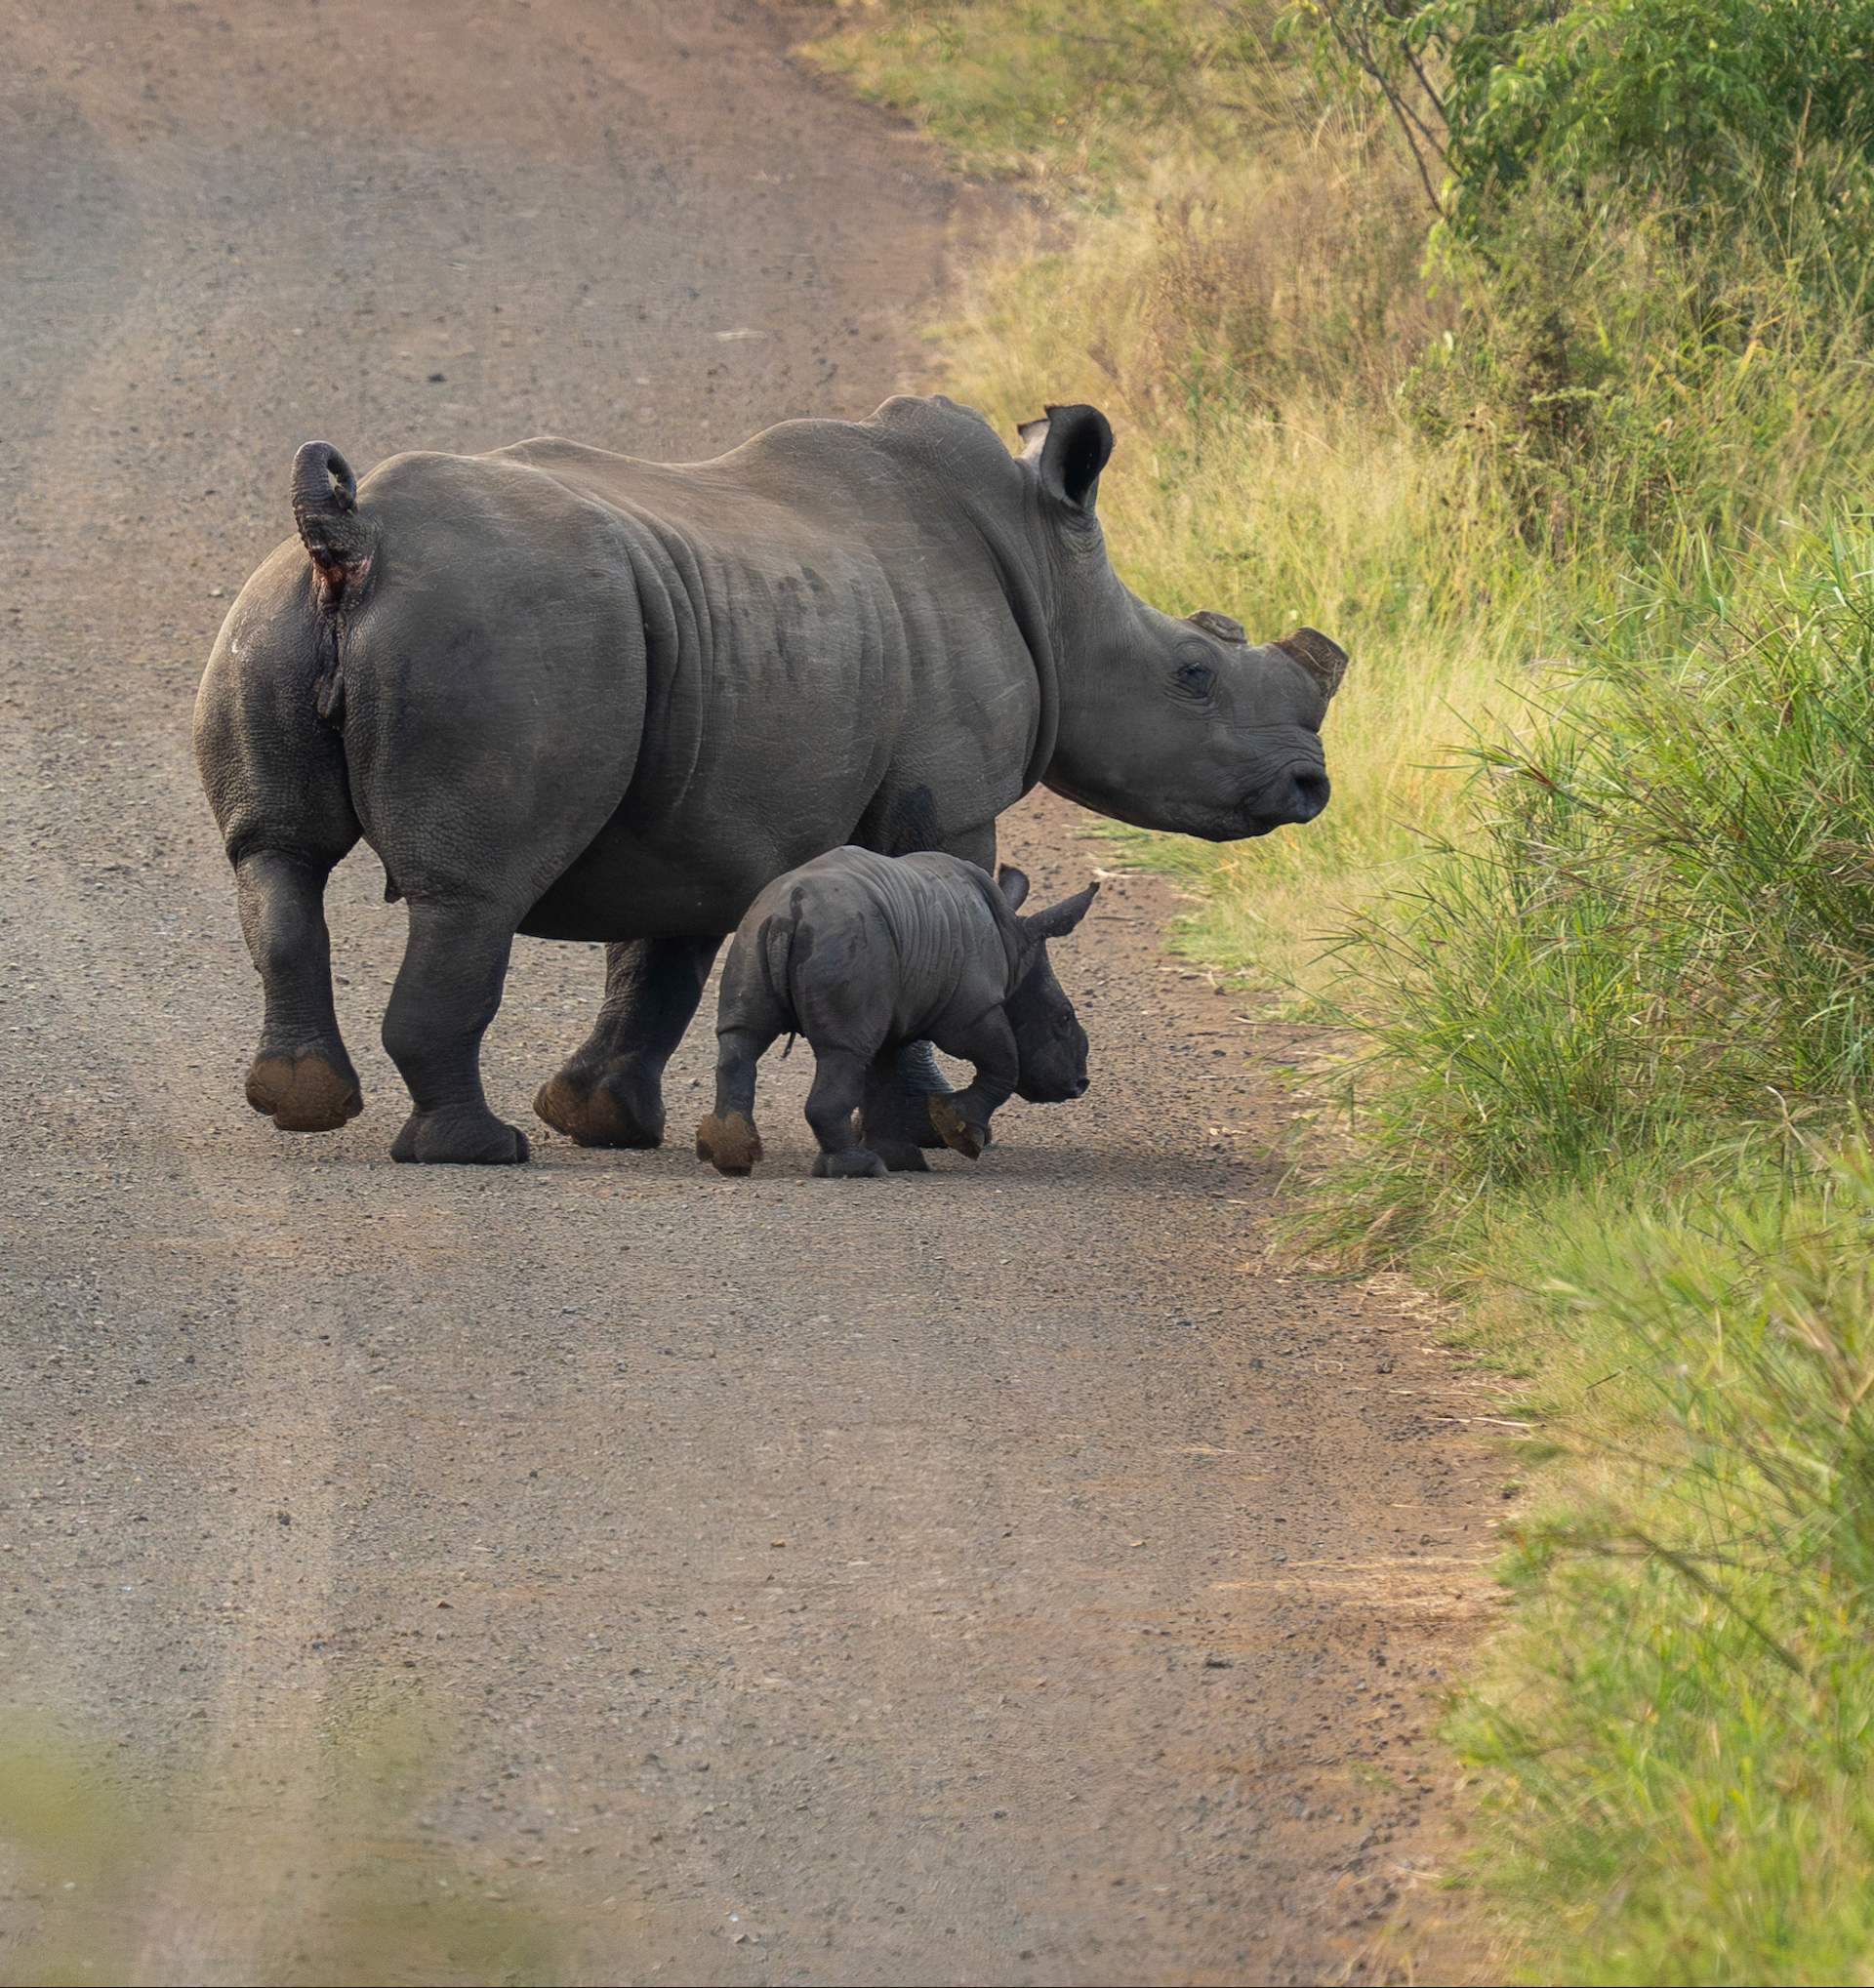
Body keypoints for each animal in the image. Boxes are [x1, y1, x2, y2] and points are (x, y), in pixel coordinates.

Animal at [696, 847, 1096, 1178]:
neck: (1016, 950)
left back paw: (729, 1158)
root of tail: (791, 910)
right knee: (844, 1053)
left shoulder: (894, 1013)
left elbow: (885, 1078)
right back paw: (857, 1169)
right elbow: (1004, 1064)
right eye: (1063, 1017)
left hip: (755, 930)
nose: (1080, 1084)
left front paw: (902, 1160)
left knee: (742, 1037)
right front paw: (962, 1134)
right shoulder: (973, 1010)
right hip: (849, 940)